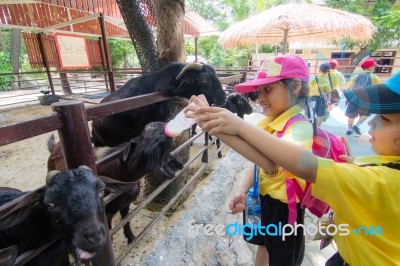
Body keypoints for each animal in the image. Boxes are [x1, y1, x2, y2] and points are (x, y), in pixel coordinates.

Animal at [47, 121, 182, 244]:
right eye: (147, 127)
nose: (165, 124)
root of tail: (54, 146)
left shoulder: (125, 204)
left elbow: (126, 221)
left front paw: (131, 239)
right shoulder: (105, 212)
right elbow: (109, 231)